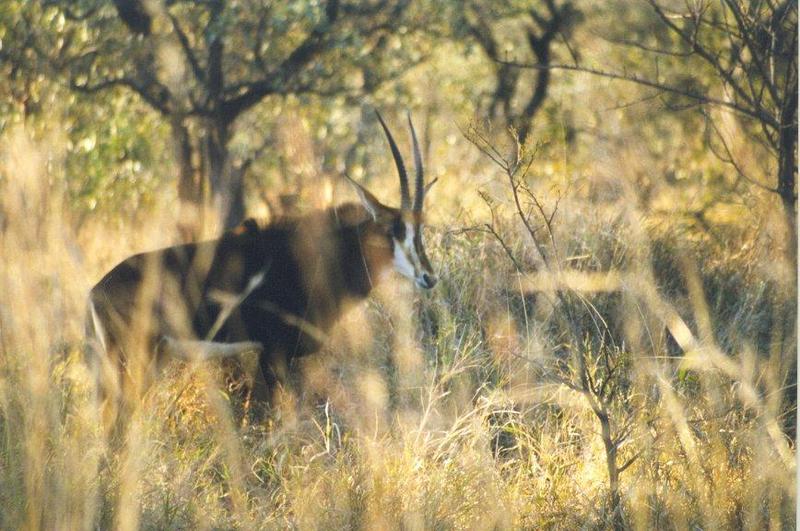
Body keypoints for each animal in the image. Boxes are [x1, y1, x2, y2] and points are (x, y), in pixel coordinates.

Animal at [86, 113, 438, 432]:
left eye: (420, 229)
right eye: (394, 230)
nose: (429, 277)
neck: (322, 256)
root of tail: (96, 290)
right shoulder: (274, 354)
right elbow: (278, 418)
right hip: (134, 357)